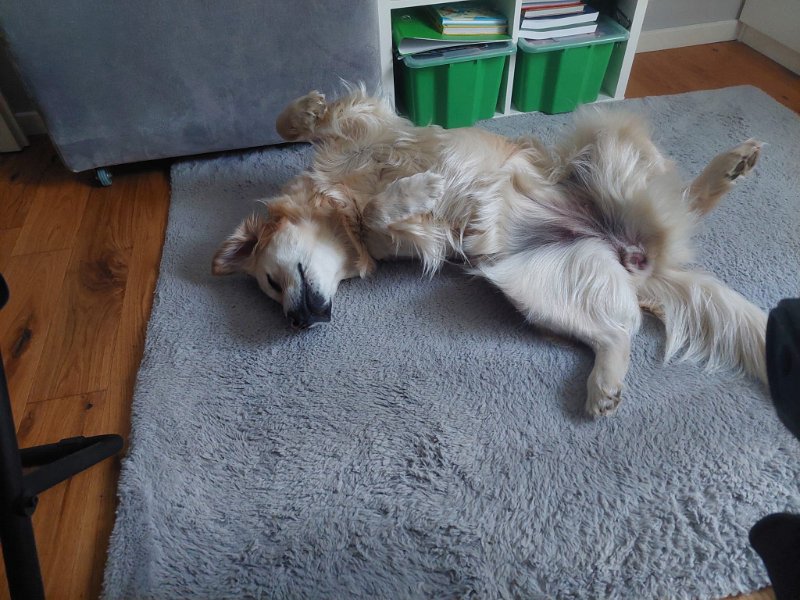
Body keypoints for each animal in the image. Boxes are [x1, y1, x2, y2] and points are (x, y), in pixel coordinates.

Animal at [212, 85, 767, 417]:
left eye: (270, 282)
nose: (299, 322)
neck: (340, 201)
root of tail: (636, 259)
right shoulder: (408, 238)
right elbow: (376, 213)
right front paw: (415, 191)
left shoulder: (373, 126)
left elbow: (302, 128)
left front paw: (307, 112)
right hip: (535, 286)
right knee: (615, 331)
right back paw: (604, 387)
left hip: (605, 136)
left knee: (680, 195)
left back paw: (731, 165)